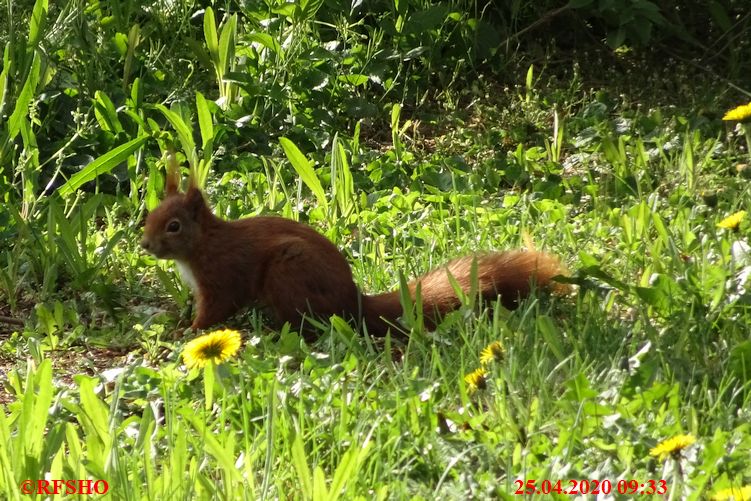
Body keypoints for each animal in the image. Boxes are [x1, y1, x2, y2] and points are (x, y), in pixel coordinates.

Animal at [141, 162, 564, 338]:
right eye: (150, 215)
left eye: (174, 225)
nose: (144, 244)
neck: (202, 245)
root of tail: (352, 302)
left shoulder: (221, 277)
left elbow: (215, 310)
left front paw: (187, 331)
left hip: (288, 274)